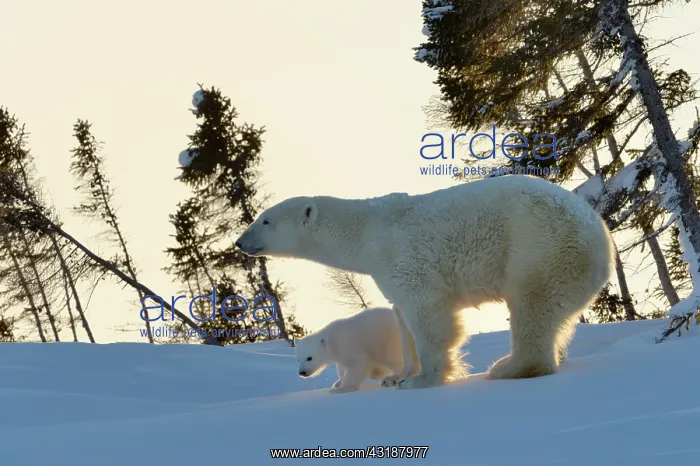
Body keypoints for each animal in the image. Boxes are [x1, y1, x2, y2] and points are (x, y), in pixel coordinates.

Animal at [235, 174, 615, 390]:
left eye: (265, 219)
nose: (240, 242)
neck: (368, 230)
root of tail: (600, 234)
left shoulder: (407, 258)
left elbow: (428, 317)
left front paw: (422, 380)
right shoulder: (387, 271)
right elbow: (402, 321)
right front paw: (396, 376)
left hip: (539, 246)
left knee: (531, 304)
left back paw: (508, 367)